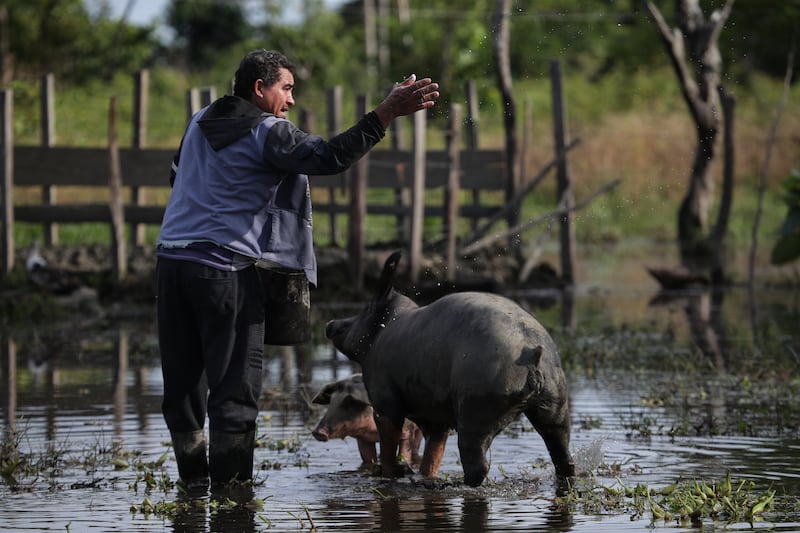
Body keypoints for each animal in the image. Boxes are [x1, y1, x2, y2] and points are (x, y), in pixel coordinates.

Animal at [324, 252, 576, 486]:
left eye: (366, 308)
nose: (330, 324)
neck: (382, 333)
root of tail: (530, 351)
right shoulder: (434, 419)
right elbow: (432, 455)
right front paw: (423, 476)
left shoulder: (385, 402)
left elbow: (388, 447)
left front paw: (392, 475)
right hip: (555, 407)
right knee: (563, 456)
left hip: (476, 413)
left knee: (477, 465)